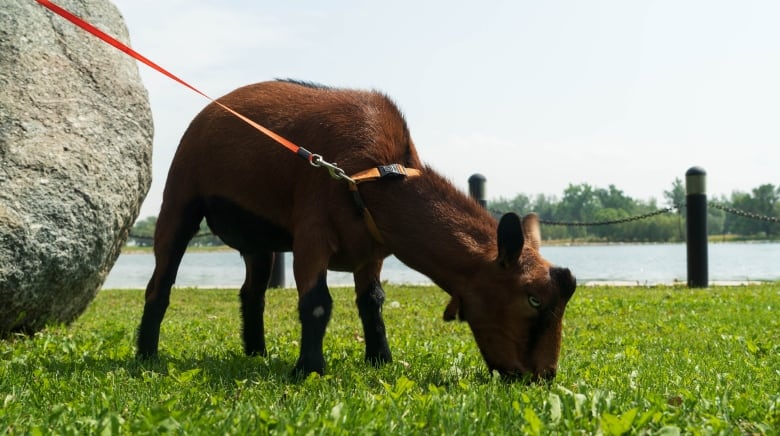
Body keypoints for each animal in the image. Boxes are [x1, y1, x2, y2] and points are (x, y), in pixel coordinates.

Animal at [137, 80, 576, 380]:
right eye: (533, 299)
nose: (543, 376)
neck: (375, 175)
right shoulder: (312, 232)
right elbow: (317, 303)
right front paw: (309, 369)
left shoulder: (371, 250)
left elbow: (373, 302)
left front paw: (380, 359)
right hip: (181, 196)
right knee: (161, 281)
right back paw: (145, 354)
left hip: (258, 240)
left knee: (252, 292)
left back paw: (256, 352)